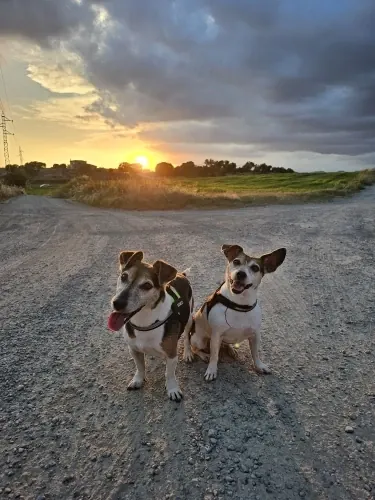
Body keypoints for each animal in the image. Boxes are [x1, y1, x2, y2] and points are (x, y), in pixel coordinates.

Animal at [108, 250, 194, 402]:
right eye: (124, 276)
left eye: (147, 285)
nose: (117, 303)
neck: (145, 321)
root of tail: (181, 274)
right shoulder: (133, 349)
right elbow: (140, 367)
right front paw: (138, 380)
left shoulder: (172, 354)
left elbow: (169, 374)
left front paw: (172, 389)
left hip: (189, 318)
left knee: (187, 337)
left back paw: (188, 353)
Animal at [185, 244, 288, 380]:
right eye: (236, 262)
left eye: (255, 268)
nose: (241, 274)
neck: (239, 304)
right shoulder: (216, 336)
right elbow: (214, 356)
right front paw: (211, 370)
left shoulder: (255, 335)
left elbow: (255, 353)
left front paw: (259, 366)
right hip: (200, 340)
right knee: (196, 349)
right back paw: (204, 355)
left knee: (225, 344)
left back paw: (231, 350)